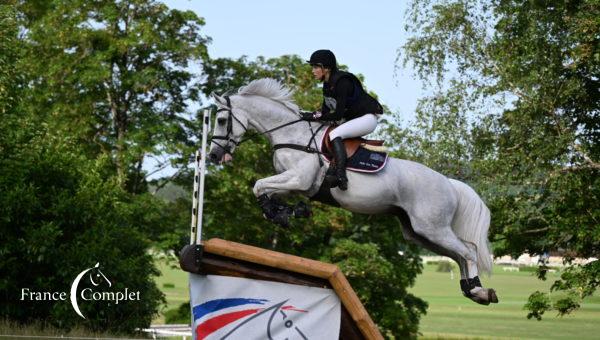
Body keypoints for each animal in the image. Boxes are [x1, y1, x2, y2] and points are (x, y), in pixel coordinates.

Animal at [206, 77, 496, 306]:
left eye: (221, 120)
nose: (213, 155)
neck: (293, 134)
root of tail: (448, 183)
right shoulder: (293, 183)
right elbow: (264, 190)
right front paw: (287, 212)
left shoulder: (299, 179)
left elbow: (258, 185)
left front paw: (281, 214)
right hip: (419, 232)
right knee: (458, 254)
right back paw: (473, 290)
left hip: (432, 228)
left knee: (468, 251)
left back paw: (479, 292)